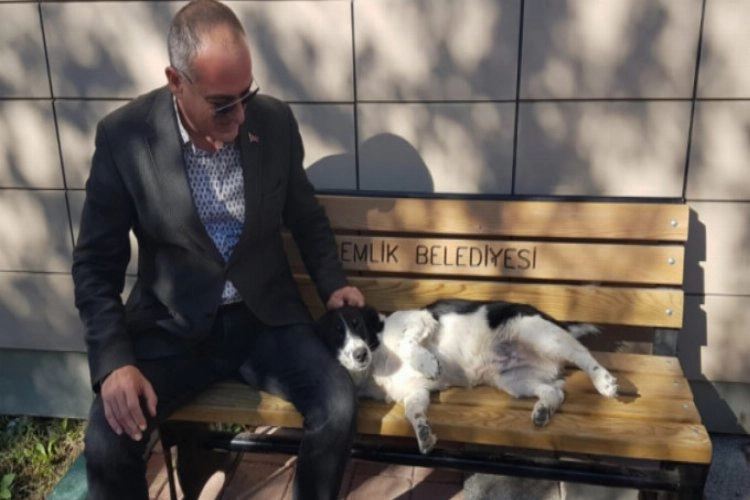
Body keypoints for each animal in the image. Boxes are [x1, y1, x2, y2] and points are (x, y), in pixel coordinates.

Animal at [315, 299, 619, 454]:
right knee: (555, 391)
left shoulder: (420, 320)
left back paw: (604, 382)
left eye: (357, 325)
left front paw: (427, 363)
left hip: (540, 334)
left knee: (584, 355)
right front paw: (423, 433)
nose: (360, 354)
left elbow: (407, 344)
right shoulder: (415, 393)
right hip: (514, 381)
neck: (377, 362)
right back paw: (543, 410)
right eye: (335, 335)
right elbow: (413, 413)